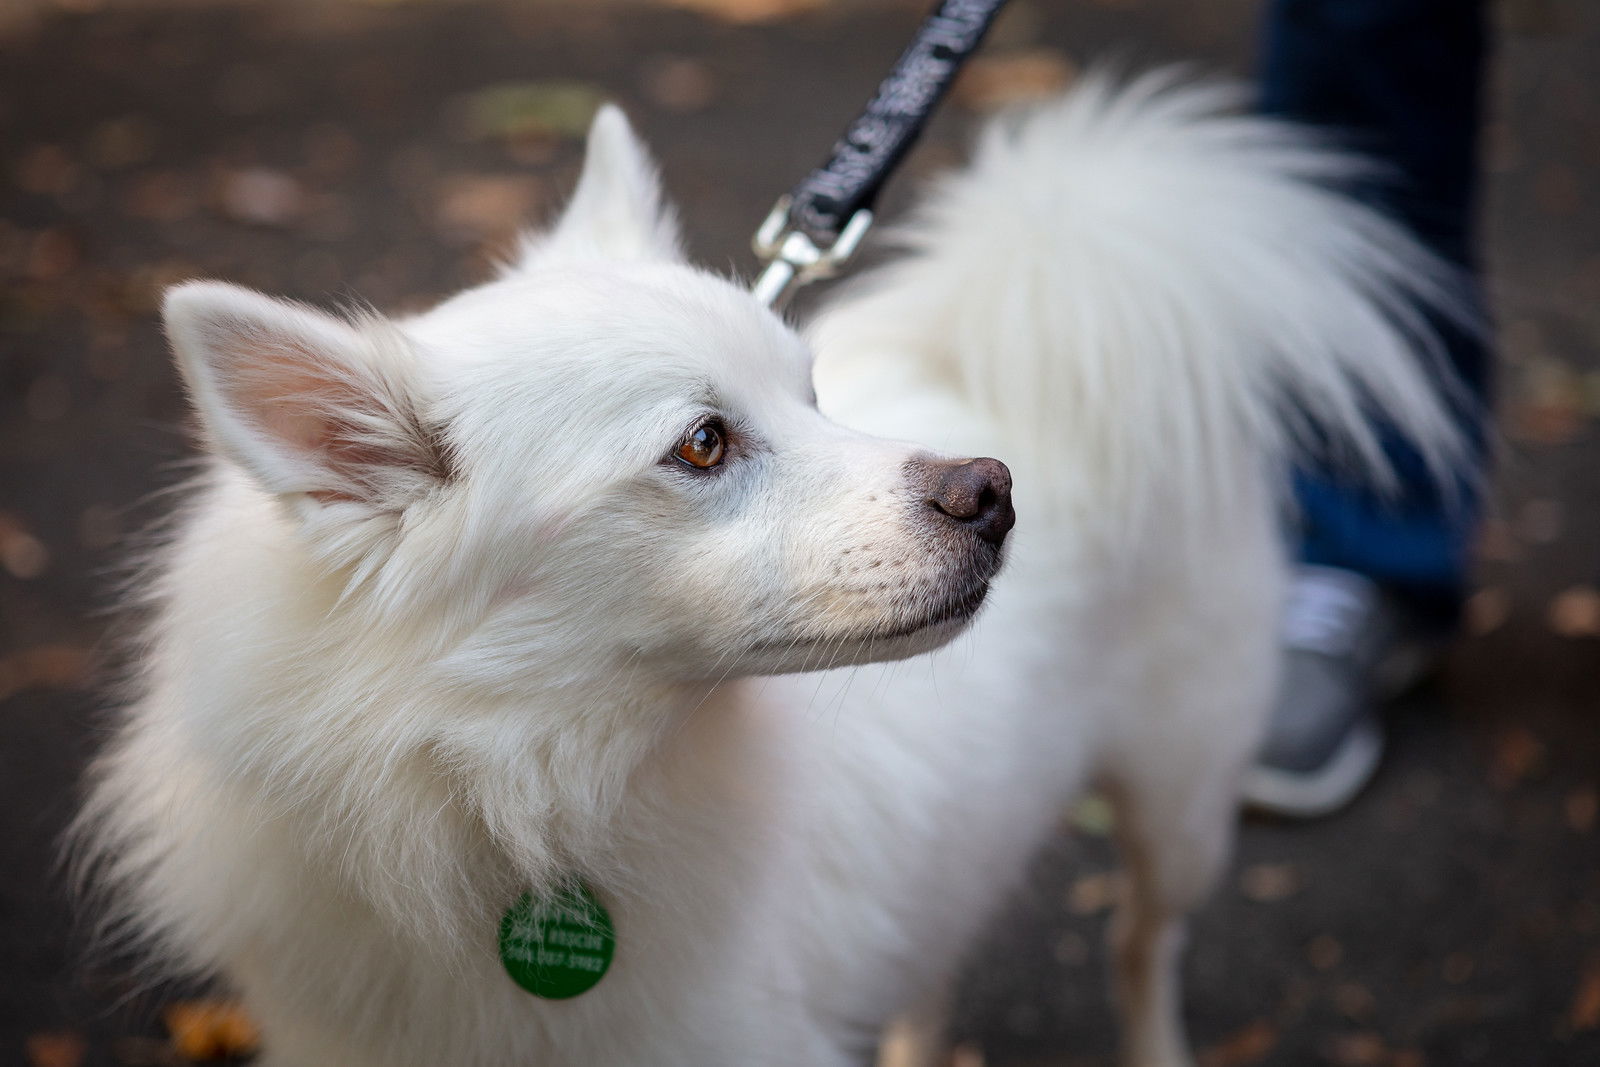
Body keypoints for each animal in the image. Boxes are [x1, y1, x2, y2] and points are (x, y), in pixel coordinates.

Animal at [81, 70, 1465, 1062]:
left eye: (811, 390)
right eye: (703, 443)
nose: (994, 493)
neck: (506, 793)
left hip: (1180, 796)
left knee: (1143, 949)